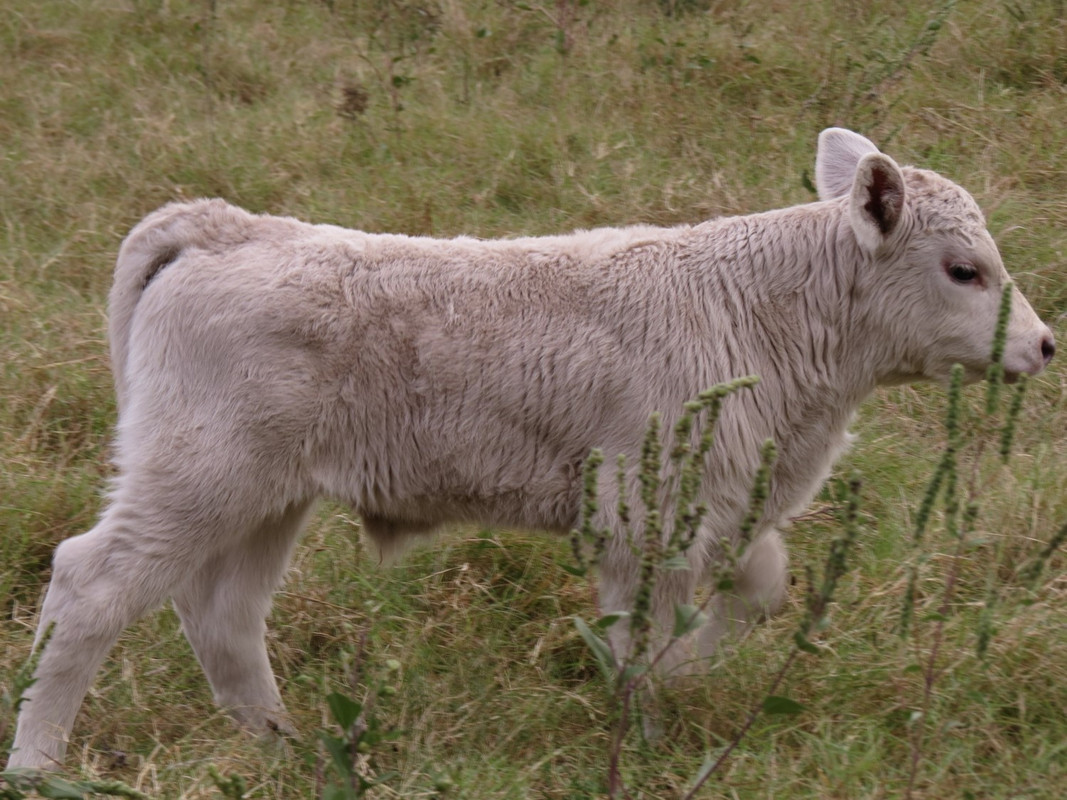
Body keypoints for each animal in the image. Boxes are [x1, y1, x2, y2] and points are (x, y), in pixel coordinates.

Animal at [8, 128, 1054, 769]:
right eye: (963, 269)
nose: (1043, 346)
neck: (756, 308)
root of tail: (228, 226)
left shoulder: (719, 508)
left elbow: (756, 590)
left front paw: (688, 675)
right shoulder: (642, 517)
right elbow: (644, 638)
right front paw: (646, 722)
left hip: (265, 497)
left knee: (223, 615)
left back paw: (282, 747)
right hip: (197, 477)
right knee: (92, 586)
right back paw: (38, 764)